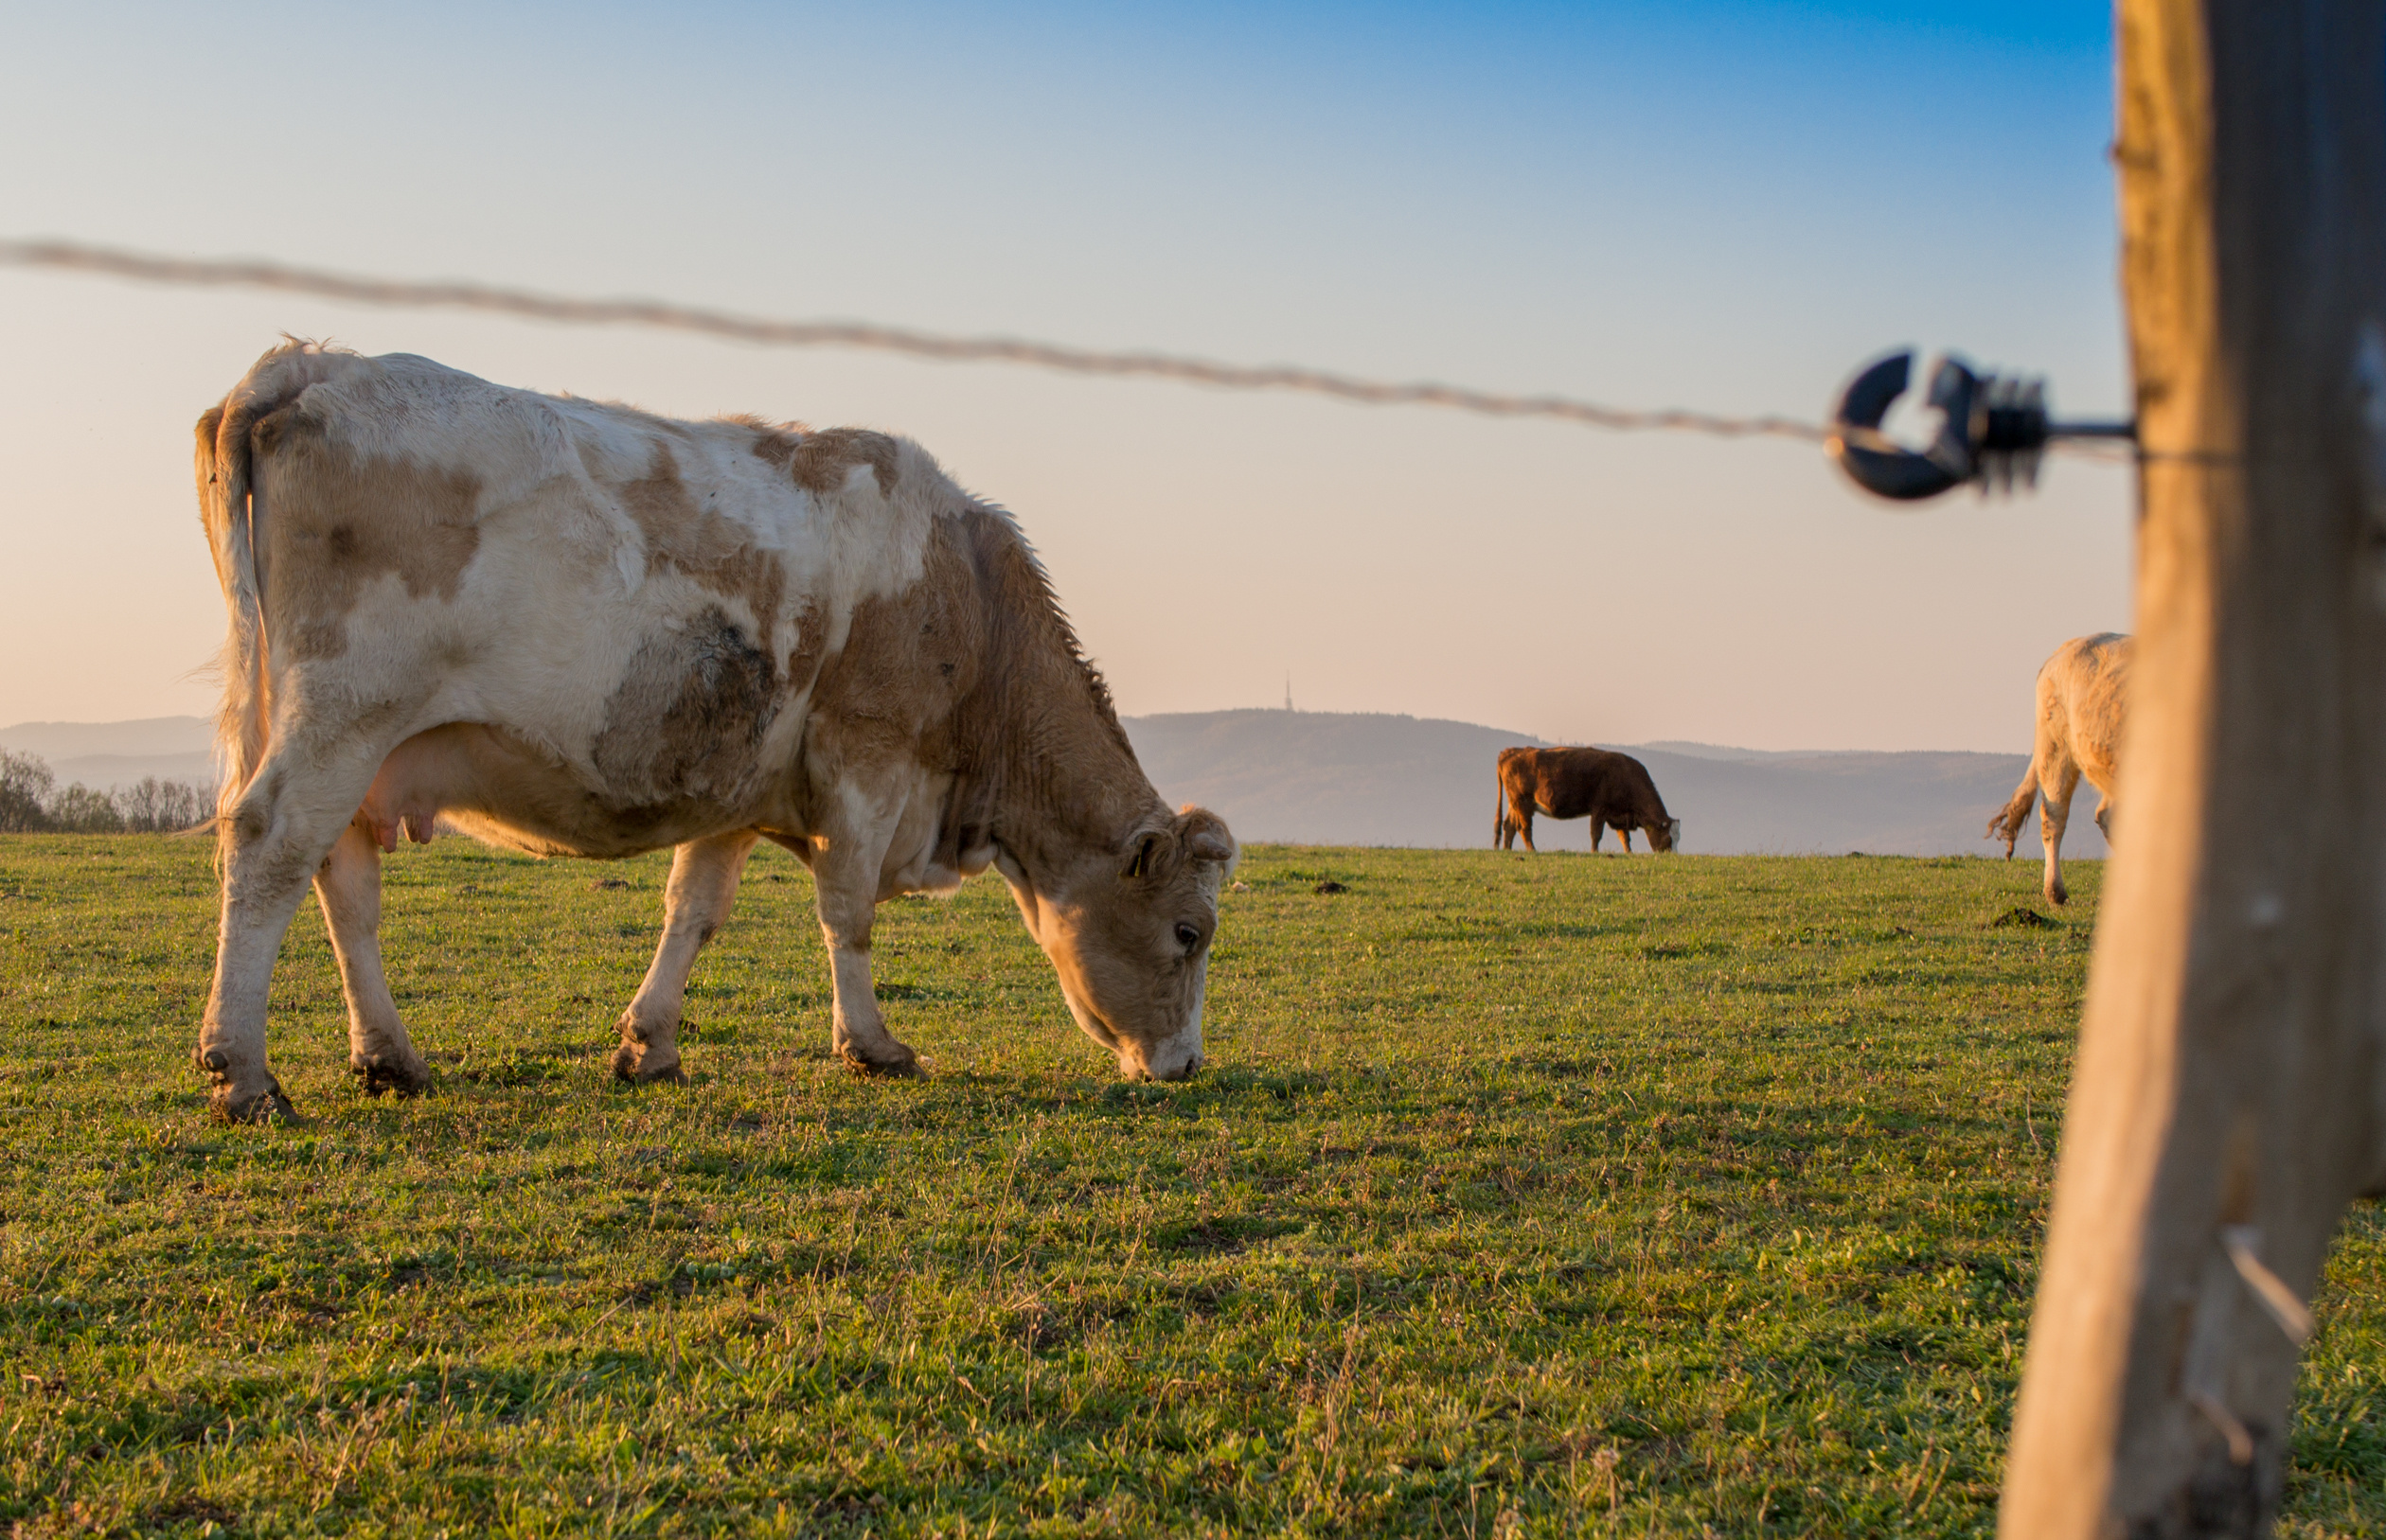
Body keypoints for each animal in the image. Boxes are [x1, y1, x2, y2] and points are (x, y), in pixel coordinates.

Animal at [189, 342, 1237, 1124]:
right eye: (1189, 931)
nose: (1185, 1064)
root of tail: (312, 363)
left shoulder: (742, 778)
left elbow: (694, 909)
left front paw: (649, 1043)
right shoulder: (867, 756)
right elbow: (847, 912)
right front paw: (872, 1045)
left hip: (351, 739)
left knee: (344, 882)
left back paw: (389, 1058)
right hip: (346, 708)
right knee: (270, 845)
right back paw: (243, 1071)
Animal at [1492, 746, 1680, 853]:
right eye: (1668, 839)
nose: (1672, 856)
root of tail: (1511, 751)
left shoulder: (1618, 813)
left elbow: (1624, 836)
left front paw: (1629, 853)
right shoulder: (1599, 808)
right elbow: (1596, 834)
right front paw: (1594, 852)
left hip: (1515, 803)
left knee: (1509, 826)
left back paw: (1507, 850)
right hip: (1522, 802)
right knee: (1524, 828)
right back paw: (1532, 850)